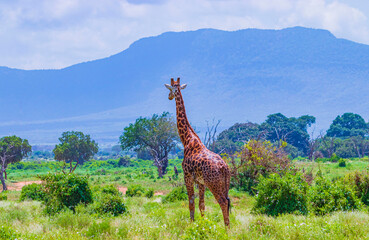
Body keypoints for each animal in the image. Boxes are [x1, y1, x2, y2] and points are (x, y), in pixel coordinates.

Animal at [165, 77, 230, 227]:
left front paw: (191, 223)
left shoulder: (187, 176)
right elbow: (202, 204)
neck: (187, 139)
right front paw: (202, 223)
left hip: (213, 183)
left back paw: (227, 229)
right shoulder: (200, 181)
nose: (169, 96)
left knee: (223, 202)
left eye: (170, 88)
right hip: (225, 183)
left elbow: (191, 202)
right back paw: (229, 226)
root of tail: (224, 167)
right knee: (228, 201)